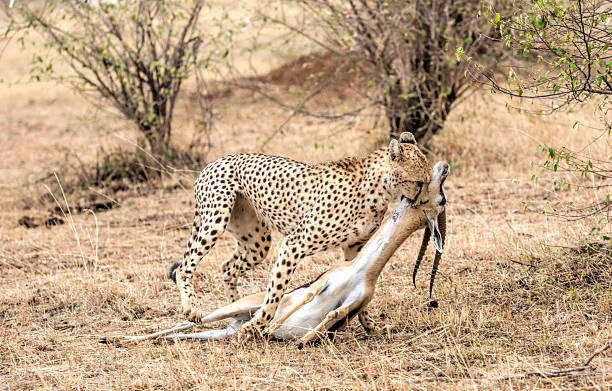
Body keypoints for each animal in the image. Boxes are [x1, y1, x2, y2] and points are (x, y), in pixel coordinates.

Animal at [172, 132, 430, 340]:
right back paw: (192, 309)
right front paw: (255, 327)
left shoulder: (353, 248)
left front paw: (369, 325)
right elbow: (275, 293)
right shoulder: (294, 244)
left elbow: (361, 281)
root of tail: (214, 162)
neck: (379, 188)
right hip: (216, 218)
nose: (427, 201)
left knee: (227, 268)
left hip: (258, 242)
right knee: (184, 266)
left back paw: (233, 306)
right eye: (420, 182)